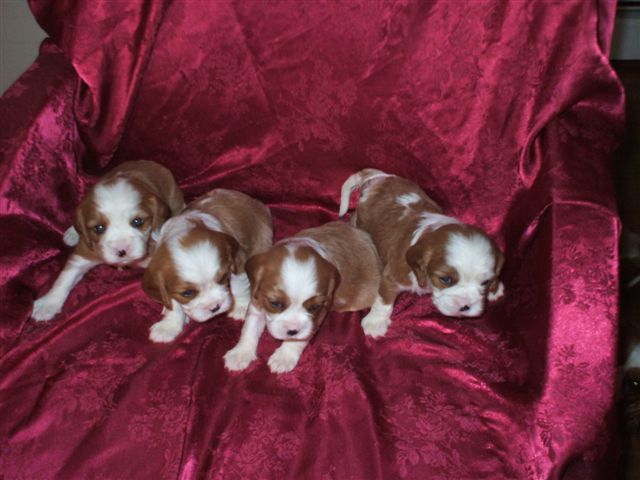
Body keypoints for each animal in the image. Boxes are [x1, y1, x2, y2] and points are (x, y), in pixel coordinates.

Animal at [31, 161, 184, 322]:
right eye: (99, 228)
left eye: (138, 222)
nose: (122, 251)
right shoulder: (85, 250)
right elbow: (65, 277)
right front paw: (48, 303)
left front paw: (171, 322)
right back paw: (72, 233)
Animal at [142, 189, 272, 344]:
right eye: (187, 293)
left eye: (223, 278)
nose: (215, 307)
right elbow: (174, 304)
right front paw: (169, 326)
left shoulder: (237, 263)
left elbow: (238, 286)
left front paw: (240, 307)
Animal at [224, 221, 380, 376]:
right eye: (275, 303)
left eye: (314, 307)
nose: (292, 331)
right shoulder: (257, 300)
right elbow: (249, 328)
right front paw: (240, 354)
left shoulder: (318, 316)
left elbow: (298, 339)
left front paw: (284, 357)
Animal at [338, 169, 508, 338]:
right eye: (446, 280)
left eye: (485, 282)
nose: (465, 306)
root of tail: (379, 177)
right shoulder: (392, 276)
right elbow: (383, 300)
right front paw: (375, 323)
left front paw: (495, 289)